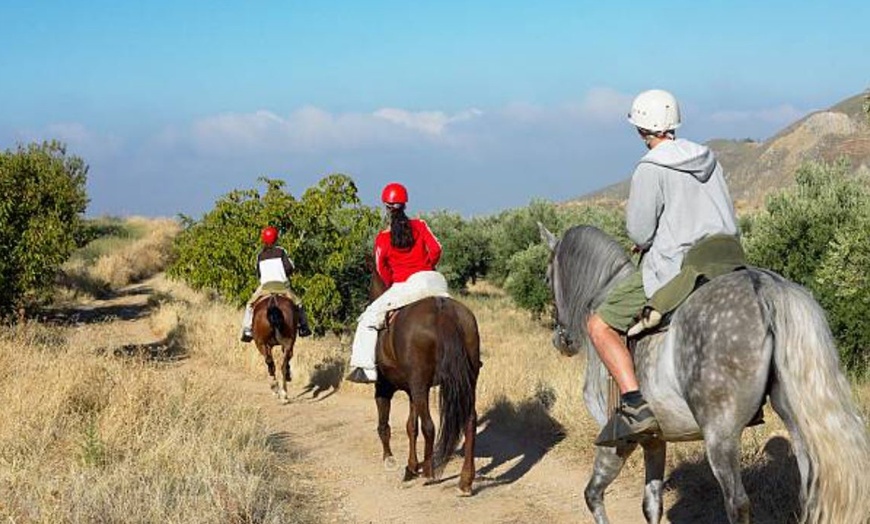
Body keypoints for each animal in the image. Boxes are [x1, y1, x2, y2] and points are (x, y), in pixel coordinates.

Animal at [370, 270, 484, 496]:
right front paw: (411, 466)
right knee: (470, 421)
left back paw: (429, 473)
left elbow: (386, 424)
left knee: (430, 426)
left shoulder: (385, 388)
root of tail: (443, 310)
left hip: (420, 383)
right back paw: (465, 480)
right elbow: (411, 426)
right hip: (466, 382)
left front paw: (392, 459)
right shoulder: (412, 391)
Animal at [540, 224, 870, 524]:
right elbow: (651, 504)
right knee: (809, 488)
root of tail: (763, 285)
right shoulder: (654, 439)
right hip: (795, 421)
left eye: (547, 277)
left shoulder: (616, 439)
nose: (561, 340)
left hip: (720, 434)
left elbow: (593, 494)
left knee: (737, 504)